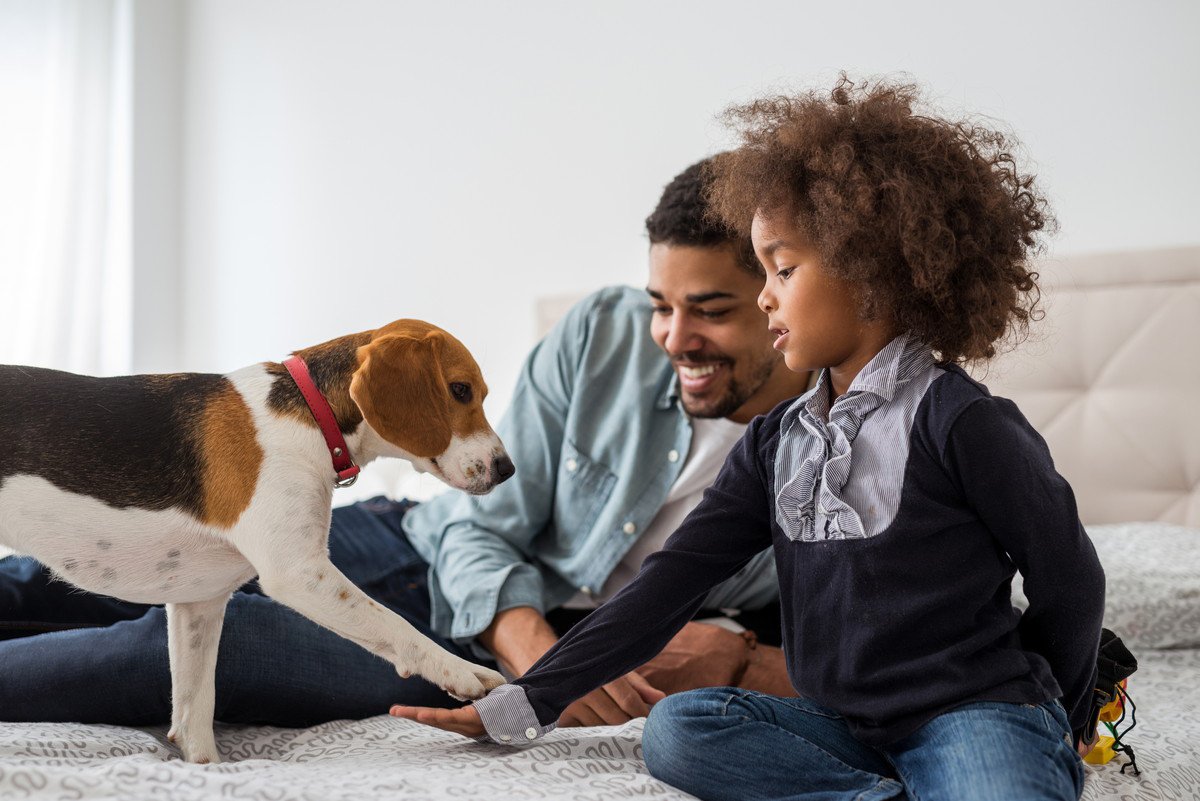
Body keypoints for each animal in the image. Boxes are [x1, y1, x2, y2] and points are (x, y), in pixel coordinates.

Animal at [0, 318, 511, 762]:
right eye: (460, 390)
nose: (507, 469)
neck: (312, 412)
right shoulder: (299, 572)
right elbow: (397, 624)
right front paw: (462, 671)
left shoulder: (199, 604)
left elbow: (195, 712)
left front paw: (205, 768)